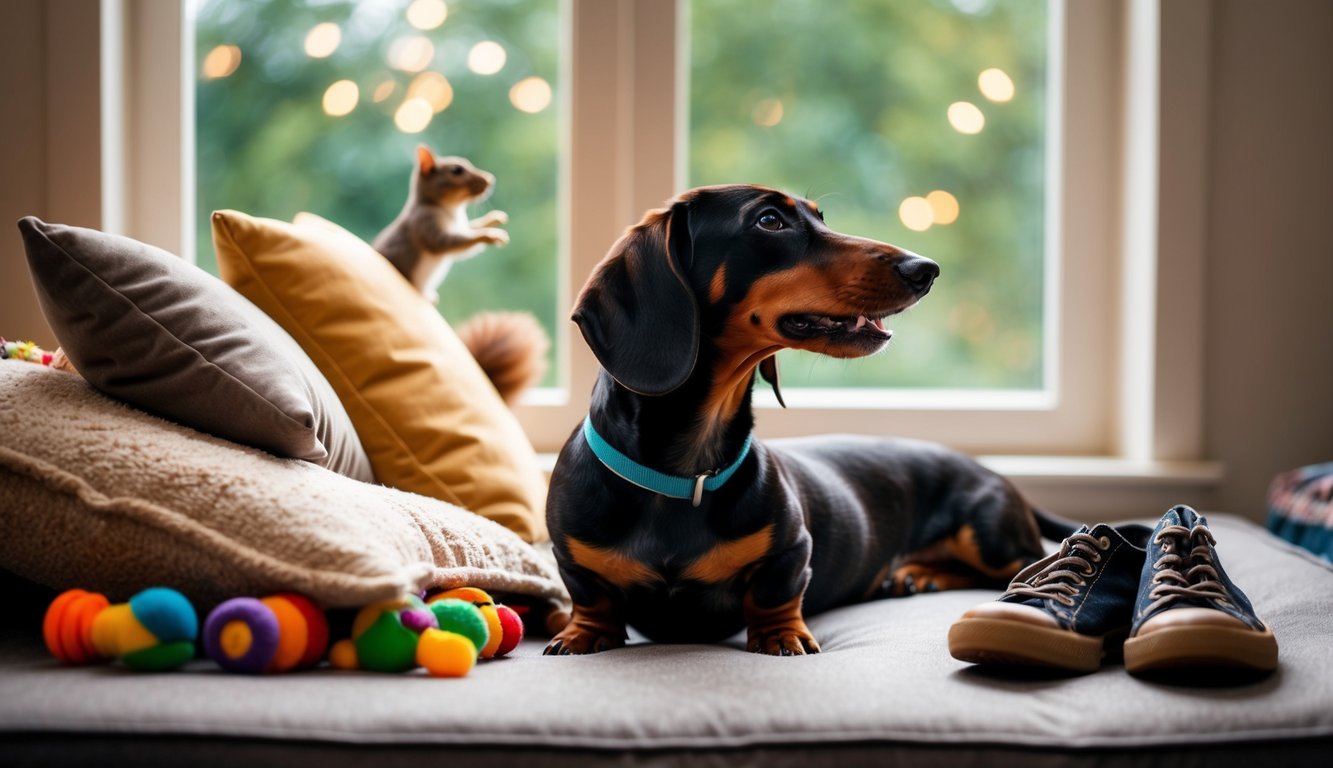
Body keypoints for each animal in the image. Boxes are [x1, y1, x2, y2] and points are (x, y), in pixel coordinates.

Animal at [373, 145, 548, 404]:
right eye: (456, 170)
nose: (490, 180)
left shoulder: (461, 225)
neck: (450, 209)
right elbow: (457, 243)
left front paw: (492, 219)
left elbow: (470, 228)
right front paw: (489, 235)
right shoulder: (427, 227)